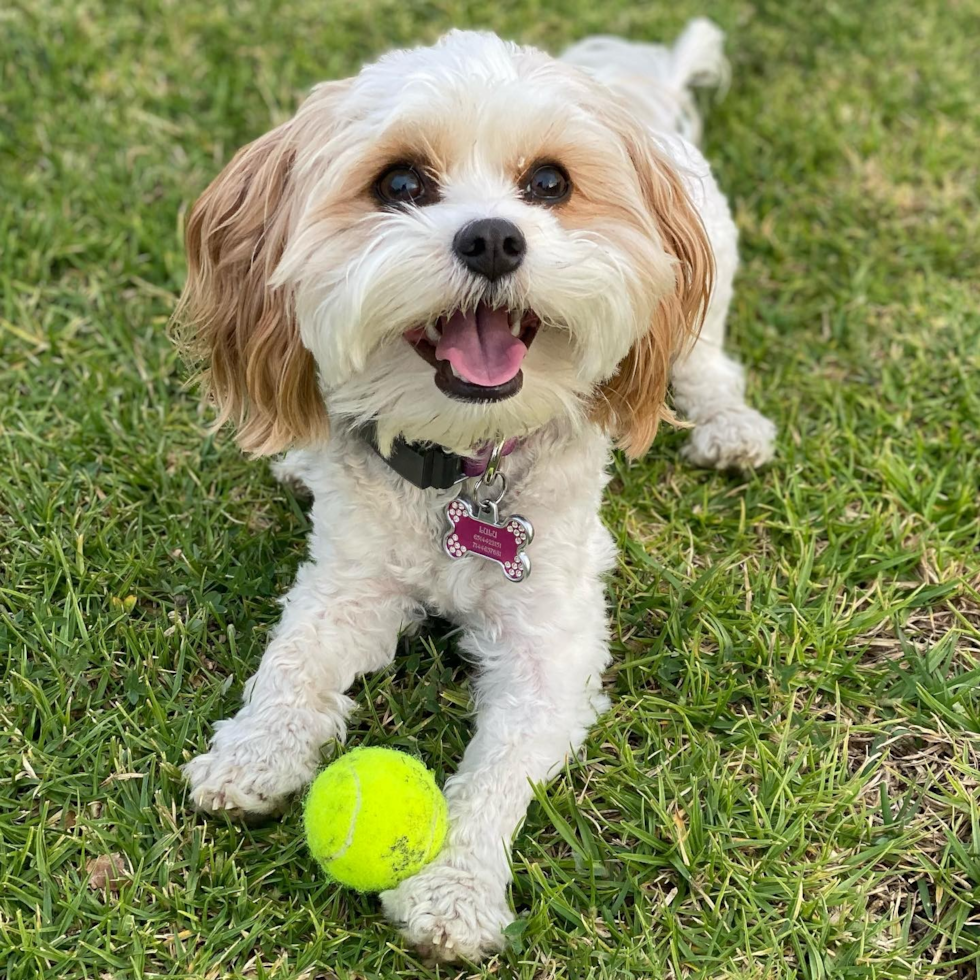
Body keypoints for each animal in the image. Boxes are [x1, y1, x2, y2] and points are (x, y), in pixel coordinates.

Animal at [174, 19, 772, 960]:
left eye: (550, 183)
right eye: (401, 184)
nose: (493, 238)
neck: (464, 467)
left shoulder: (551, 645)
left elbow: (499, 768)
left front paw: (453, 890)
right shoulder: (348, 582)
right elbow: (292, 661)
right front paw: (253, 753)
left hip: (701, 289)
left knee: (707, 363)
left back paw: (731, 428)